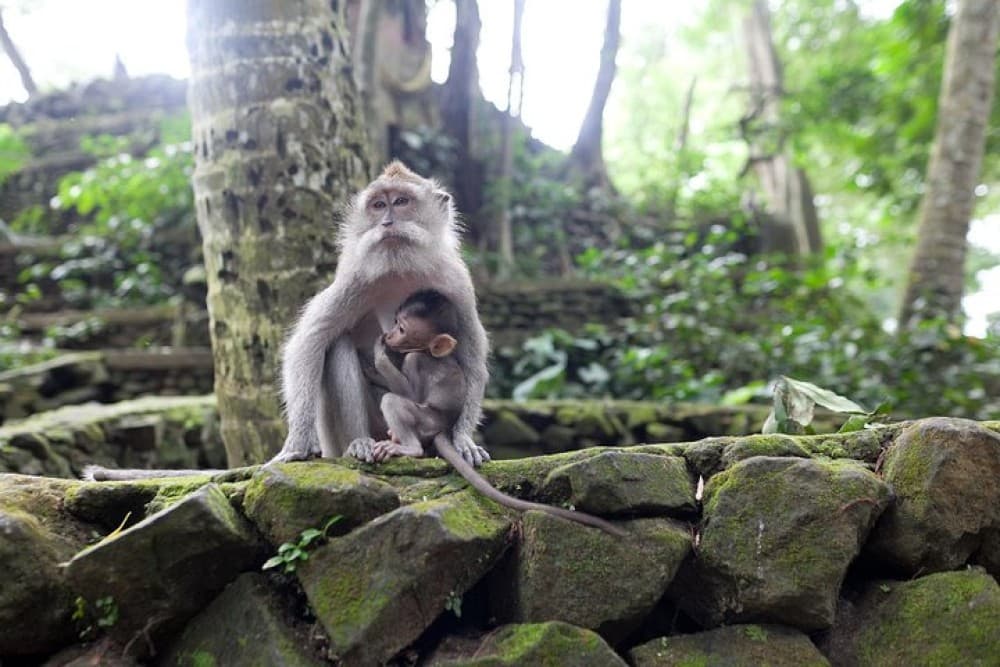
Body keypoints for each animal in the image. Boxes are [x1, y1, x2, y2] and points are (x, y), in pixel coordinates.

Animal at [82, 162, 491, 482]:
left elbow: (471, 357)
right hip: (341, 434)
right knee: (337, 346)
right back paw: (359, 442)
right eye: (378, 205)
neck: (401, 266)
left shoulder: (456, 282)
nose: (388, 221)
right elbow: (310, 342)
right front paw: (296, 443)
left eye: (401, 202)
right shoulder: (355, 277)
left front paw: (463, 439)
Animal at [369, 289, 626, 537]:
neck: (431, 352)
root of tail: (443, 427)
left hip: (426, 420)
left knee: (392, 401)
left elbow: (408, 391)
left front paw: (379, 355)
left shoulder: (417, 359)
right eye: (395, 322)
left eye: (402, 329)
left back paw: (408, 448)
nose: (389, 335)